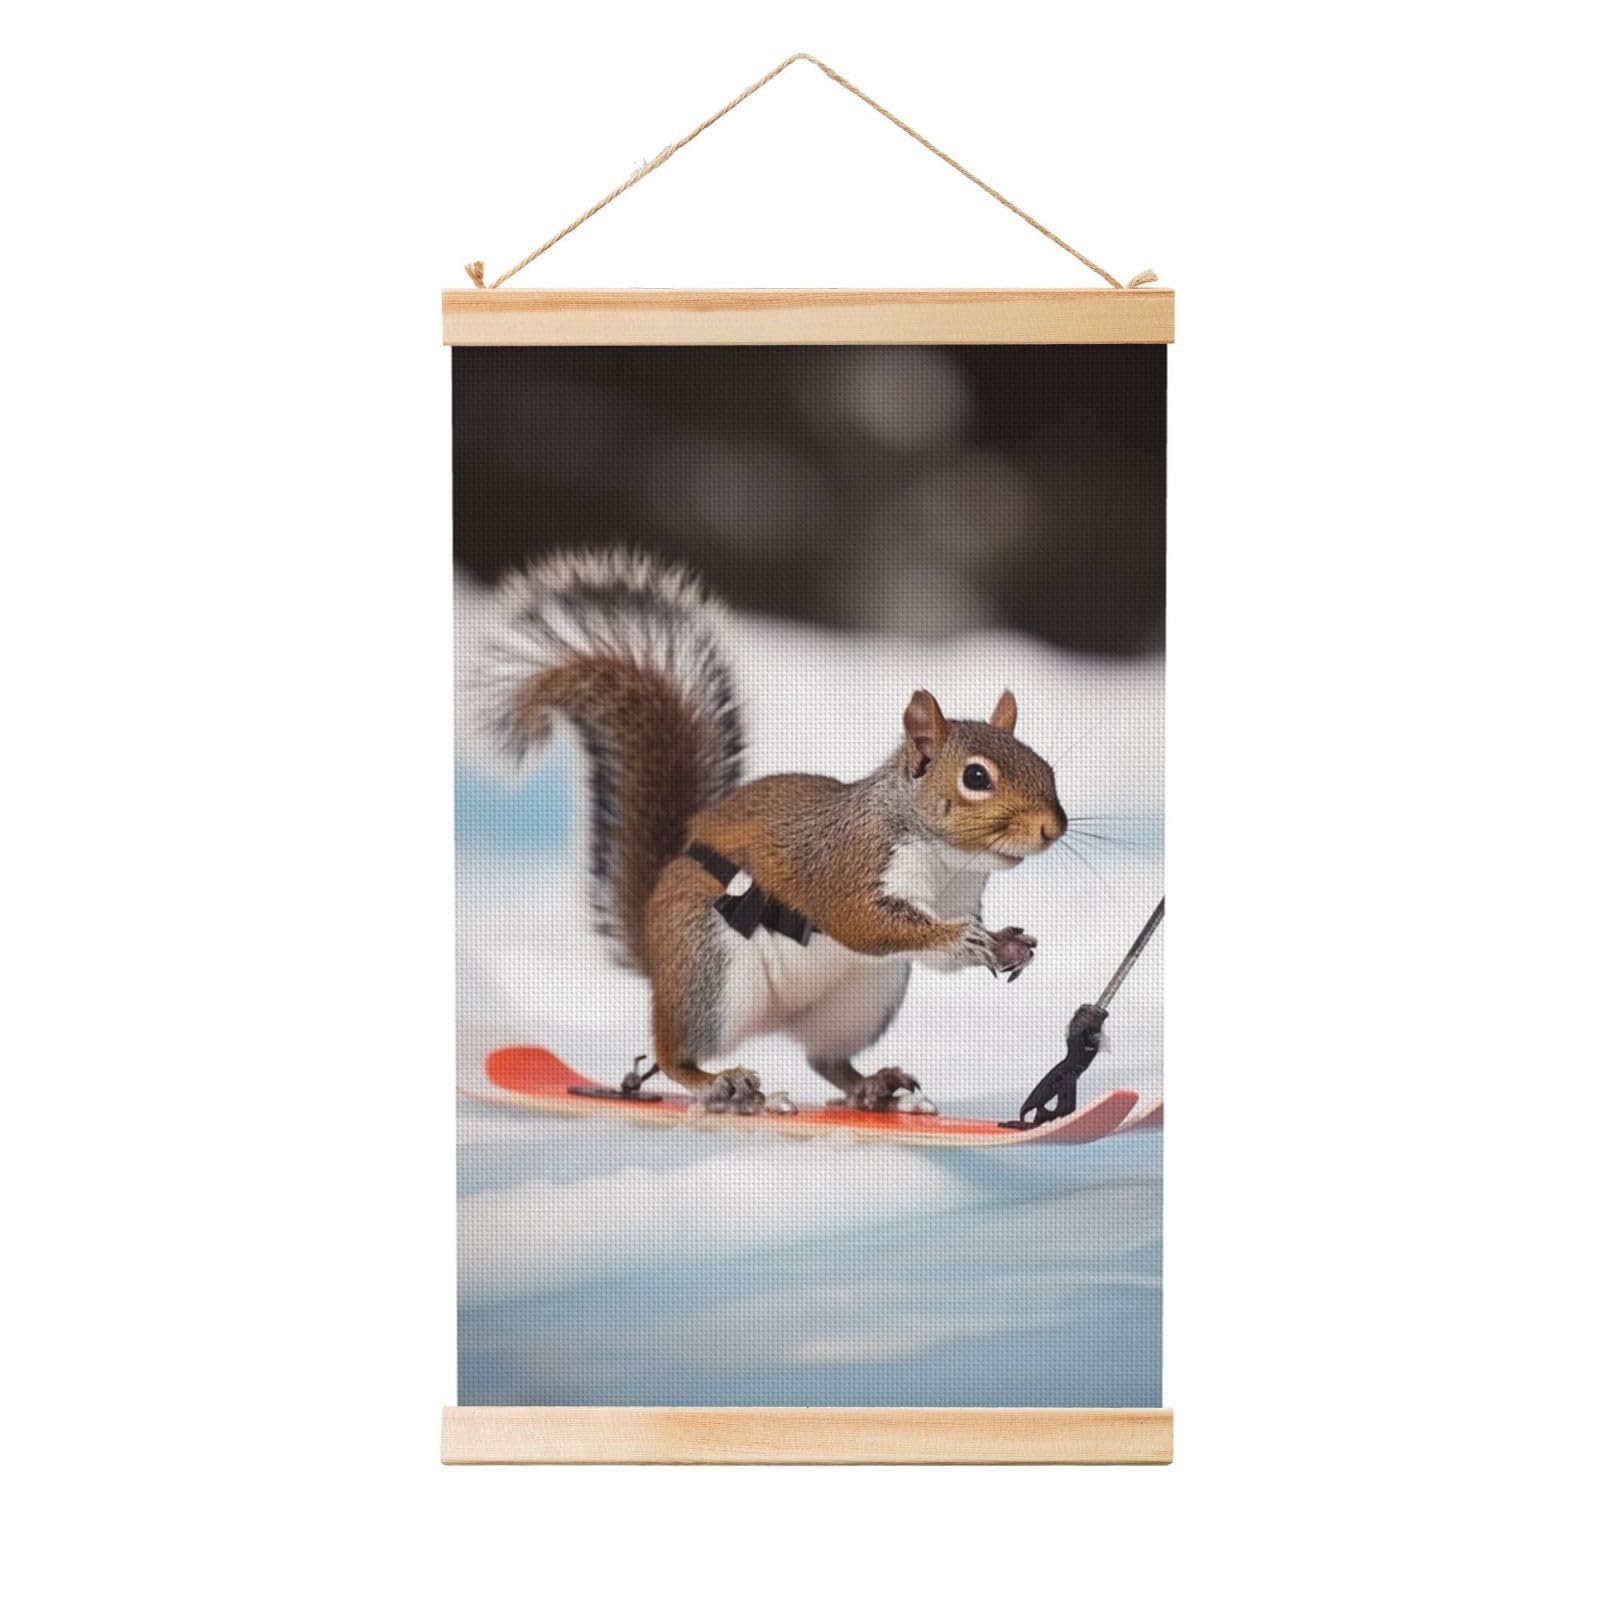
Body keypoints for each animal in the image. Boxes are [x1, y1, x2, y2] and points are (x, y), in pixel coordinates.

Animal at [482, 548, 1067, 1114]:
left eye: (1047, 766)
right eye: (976, 777)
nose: (1053, 829)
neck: (949, 862)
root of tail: (655, 949)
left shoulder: (958, 898)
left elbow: (939, 958)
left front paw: (1008, 944)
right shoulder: (848, 863)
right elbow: (863, 922)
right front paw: (960, 938)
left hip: (862, 998)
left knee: (824, 1058)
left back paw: (872, 1087)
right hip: (714, 975)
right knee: (673, 1054)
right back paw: (721, 1083)